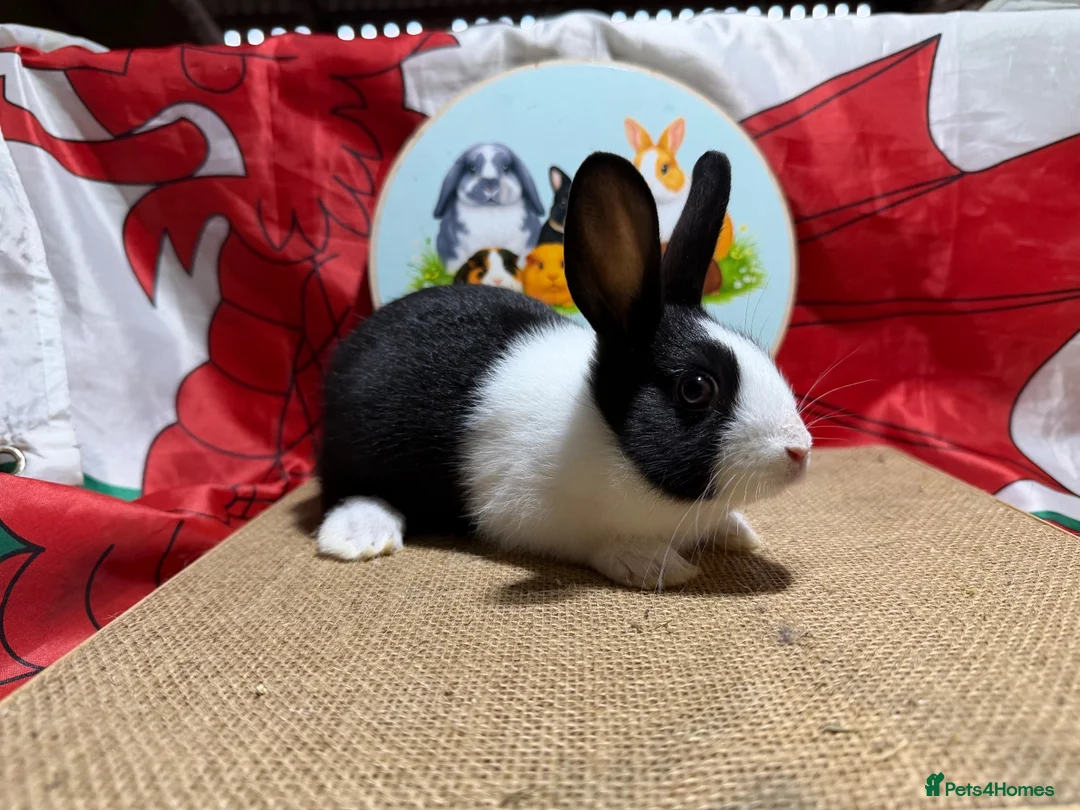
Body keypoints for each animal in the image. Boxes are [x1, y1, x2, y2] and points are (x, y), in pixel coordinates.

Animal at [317, 149, 811, 590]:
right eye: (695, 388)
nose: (800, 450)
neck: (605, 429)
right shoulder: (535, 517)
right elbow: (602, 543)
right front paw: (653, 564)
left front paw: (737, 531)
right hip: (356, 454)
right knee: (345, 491)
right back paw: (361, 535)